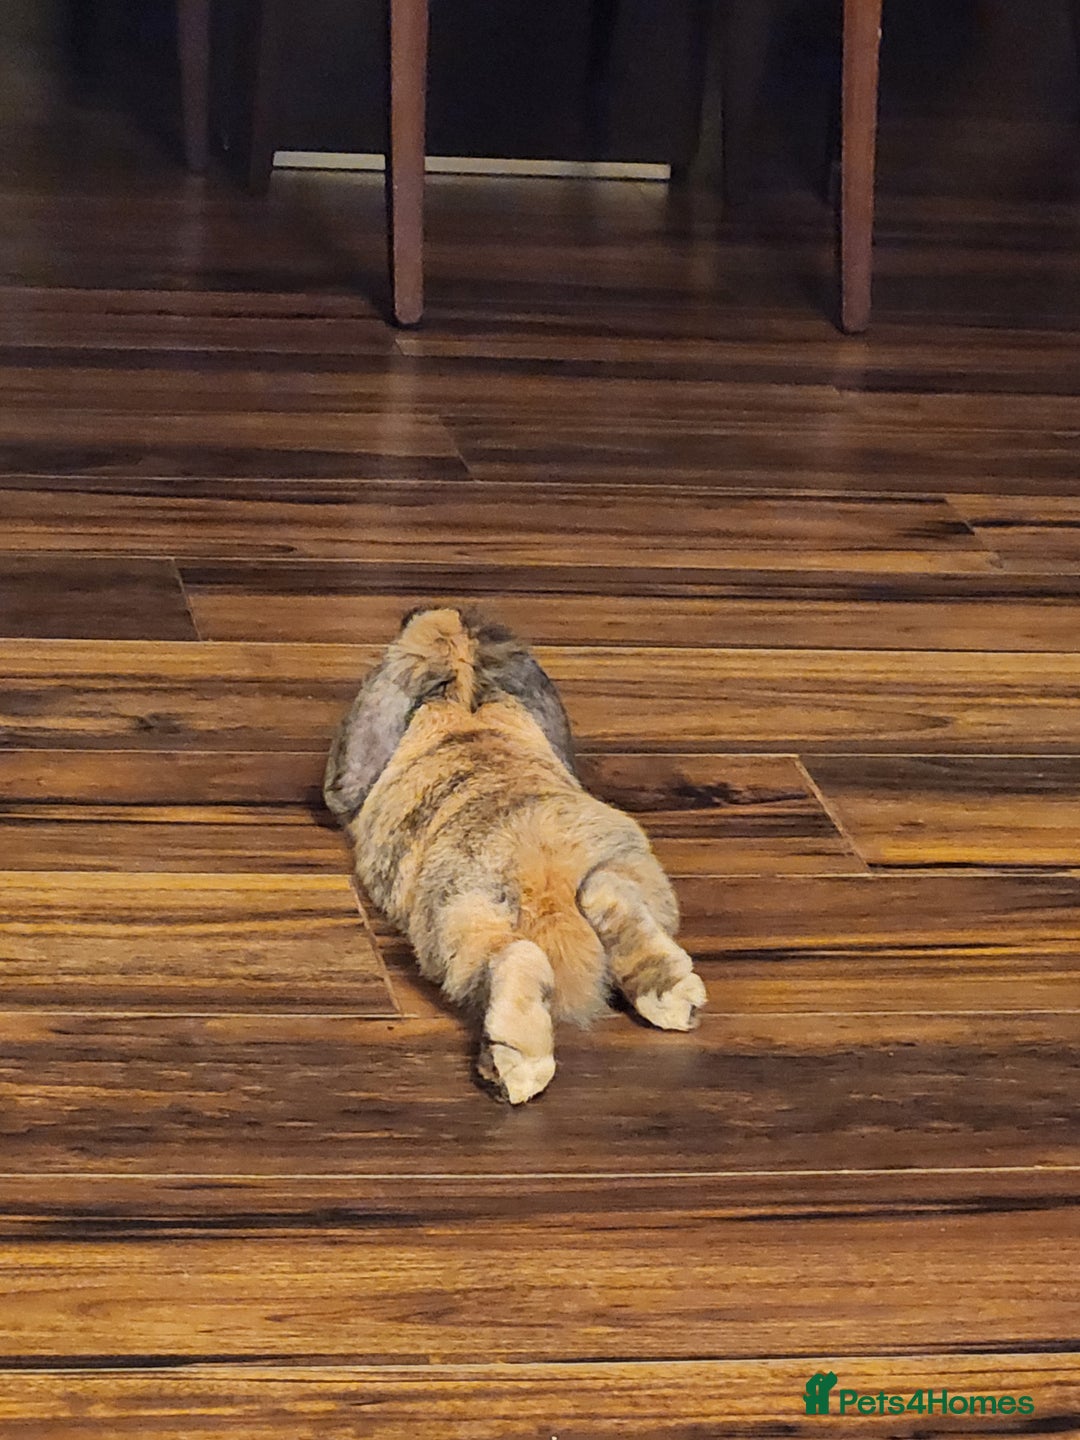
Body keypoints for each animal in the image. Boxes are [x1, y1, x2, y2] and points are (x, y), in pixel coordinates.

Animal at [324, 607, 707, 1104]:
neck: (465, 708)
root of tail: (543, 868)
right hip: (633, 875)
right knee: (609, 895)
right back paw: (672, 995)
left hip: (460, 921)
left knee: (517, 957)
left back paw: (513, 1066)